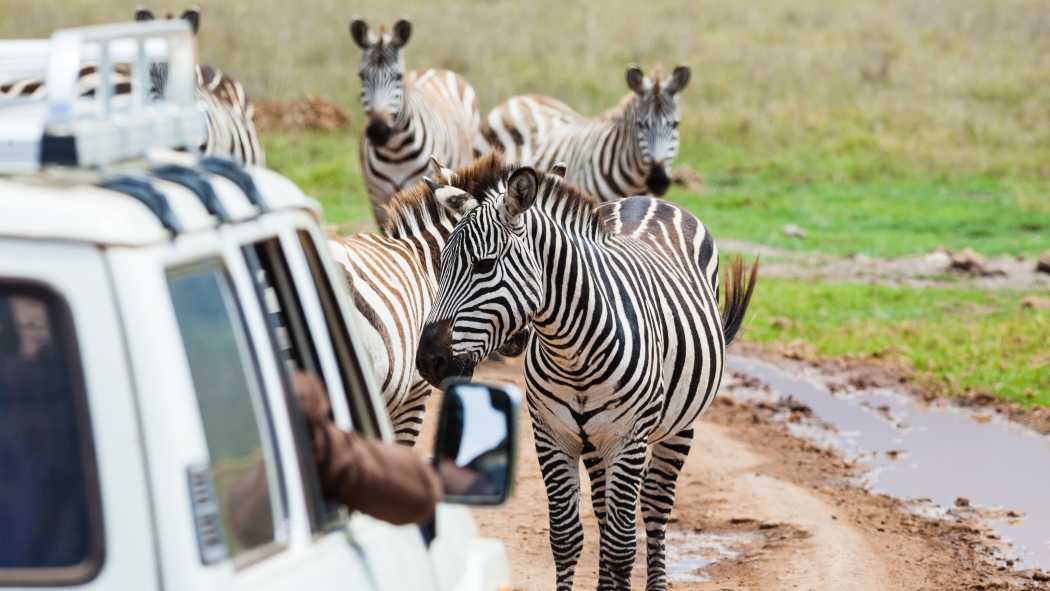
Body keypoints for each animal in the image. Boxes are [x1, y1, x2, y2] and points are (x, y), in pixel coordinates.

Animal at [348, 17, 487, 226]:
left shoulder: (421, 185)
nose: (378, 131)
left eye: (398, 76)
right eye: (362, 75)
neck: (395, 152)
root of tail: (434, 69)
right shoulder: (377, 198)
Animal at [415, 162, 755, 591]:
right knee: (605, 509)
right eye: (441, 265)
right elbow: (566, 536)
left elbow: (622, 545)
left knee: (655, 505)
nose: (429, 361)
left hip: (678, 426)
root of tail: (650, 200)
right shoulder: (551, 434)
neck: (572, 351)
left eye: (484, 265)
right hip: (594, 440)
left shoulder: (628, 438)